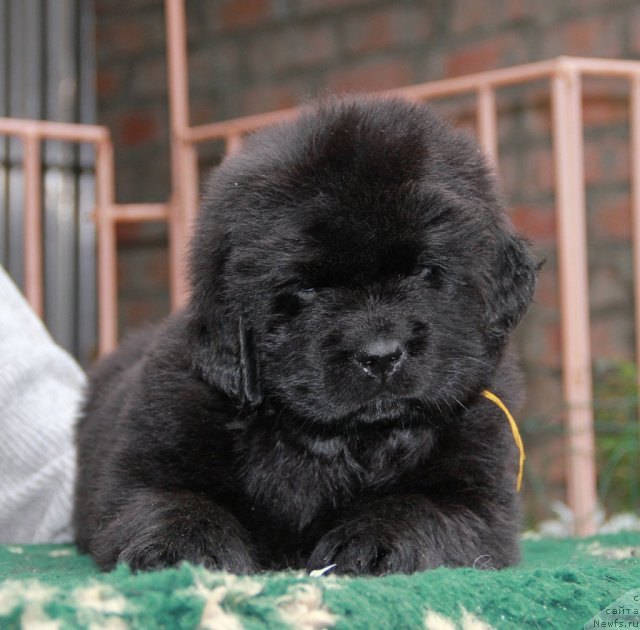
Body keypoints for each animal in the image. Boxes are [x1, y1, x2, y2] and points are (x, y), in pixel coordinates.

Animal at [74, 97, 536, 576]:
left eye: (426, 270)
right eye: (305, 289)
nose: (380, 355)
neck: (343, 443)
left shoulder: (481, 500)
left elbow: (421, 506)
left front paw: (375, 543)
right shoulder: (146, 463)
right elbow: (173, 500)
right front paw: (182, 548)